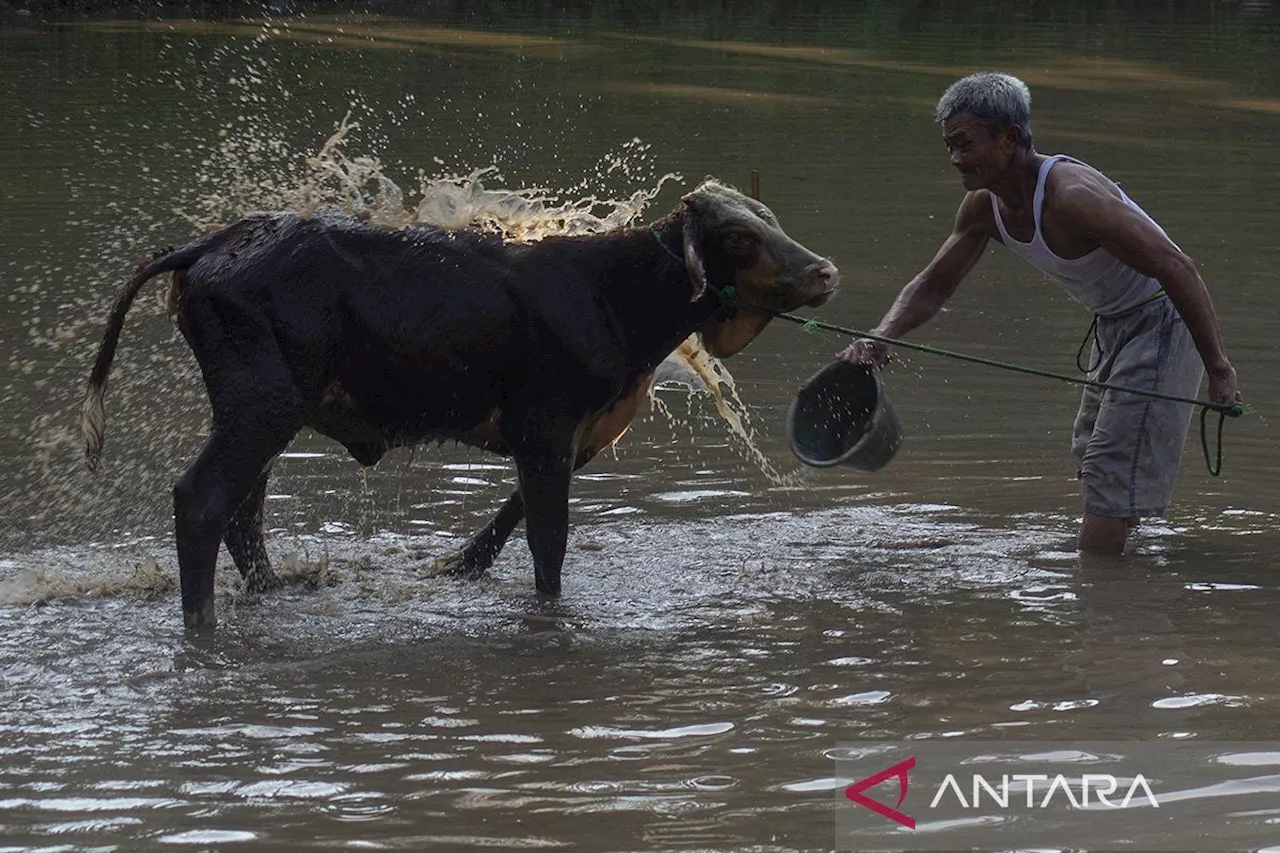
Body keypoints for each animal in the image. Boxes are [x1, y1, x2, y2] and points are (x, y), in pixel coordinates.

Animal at [82, 178, 839, 625]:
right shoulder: (545, 426)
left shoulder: (574, 438)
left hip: (261, 412)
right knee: (204, 500)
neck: (617, 297)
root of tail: (216, 241)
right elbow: (547, 541)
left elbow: (509, 519)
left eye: (771, 219)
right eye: (739, 236)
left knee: (244, 515)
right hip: (260, 405)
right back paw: (202, 623)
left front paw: (458, 566)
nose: (825, 270)